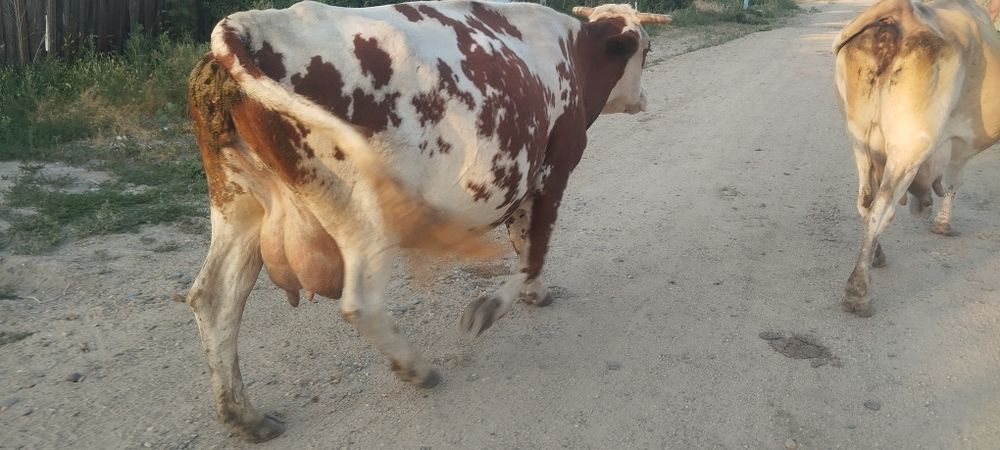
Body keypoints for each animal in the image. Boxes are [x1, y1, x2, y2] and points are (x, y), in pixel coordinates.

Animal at [186, 0, 669, 441]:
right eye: (645, 50)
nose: (644, 99)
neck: (572, 53)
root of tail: (249, 24)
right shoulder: (556, 166)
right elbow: (535, 248)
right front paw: (492, 307)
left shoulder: (526, 176)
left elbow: (523, 239)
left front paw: (534, 293)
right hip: (359, 215)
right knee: (360, 303)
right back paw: (417, 368)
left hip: (238, 204)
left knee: (214, 298)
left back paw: (245, 416)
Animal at [833, 0, 1000, 317]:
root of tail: (901, 11)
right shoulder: (958, 146)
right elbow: (954, 182)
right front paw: (943, 224)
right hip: (909, 146)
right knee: (880, 212)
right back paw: (858, 294)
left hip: (859, 139)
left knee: (865, 203)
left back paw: (877, 256)